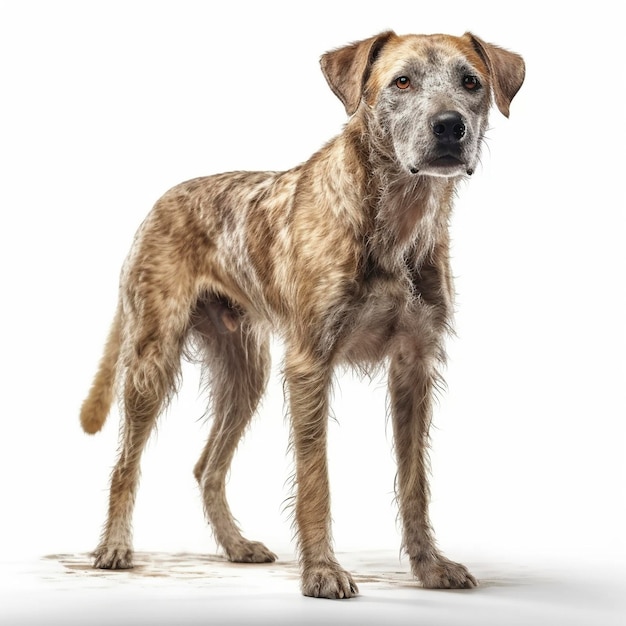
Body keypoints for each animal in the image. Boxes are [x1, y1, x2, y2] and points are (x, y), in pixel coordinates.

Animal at [80, 29, 524, 596]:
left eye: (471, 82)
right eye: (402, 81)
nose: (450, 126)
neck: (396, 216)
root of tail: (160, 202)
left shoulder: (413, 367)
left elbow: (414, 481)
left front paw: (429, 566)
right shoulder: (310, 365)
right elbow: (316, 480)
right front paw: (322, 572)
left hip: (247, 373)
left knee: (207, 467)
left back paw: (236, 546)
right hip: (151, 363)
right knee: (125, 464)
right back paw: (114, 548)